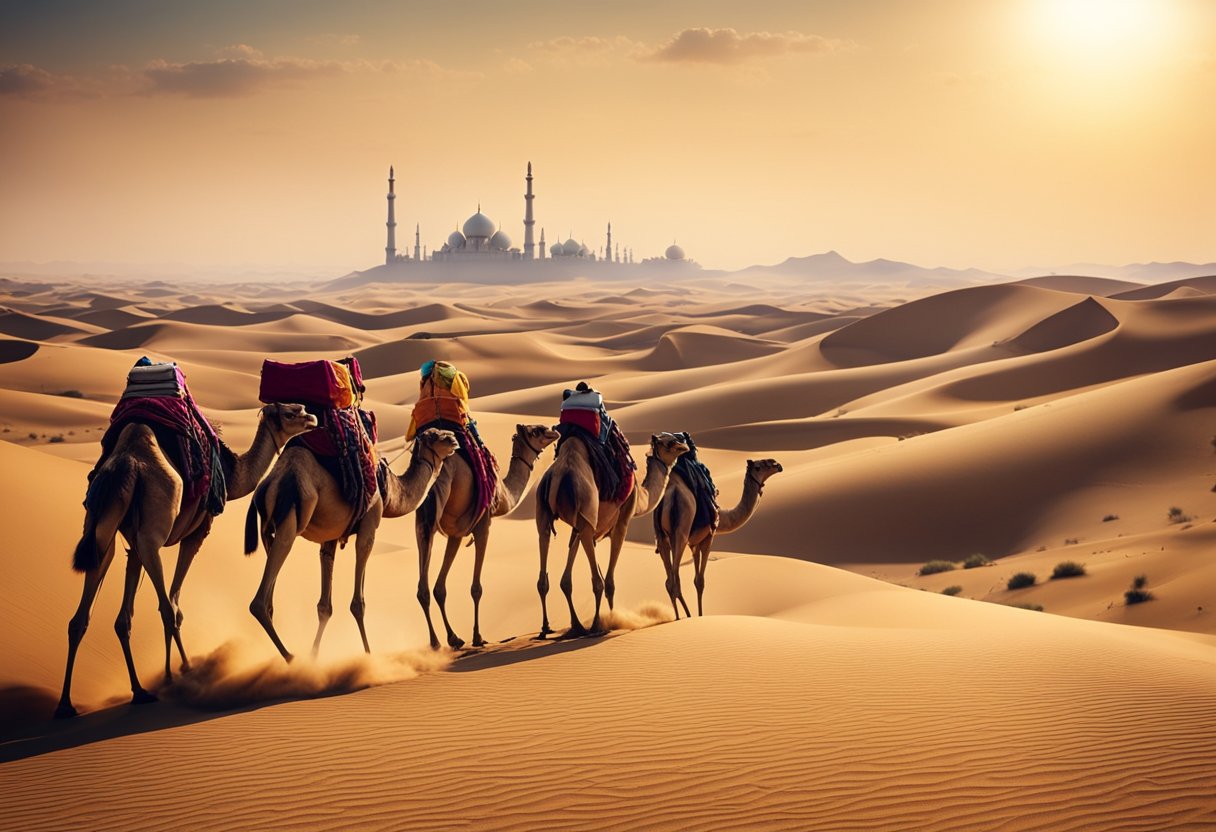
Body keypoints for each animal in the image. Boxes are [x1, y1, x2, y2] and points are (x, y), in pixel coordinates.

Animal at [55, 401, 318, 715]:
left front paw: (154, 681)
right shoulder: (197, 532)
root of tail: (126, 465)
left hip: (101, 531)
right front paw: (176, 672)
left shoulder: (132, 545)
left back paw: (81, 702)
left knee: (81, 617)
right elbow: (174, 605)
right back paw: (186, 674)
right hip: (153, 534)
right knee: (166, 608)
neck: (232, 476)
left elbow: (125, 617)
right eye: (292, 412)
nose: (312, 418)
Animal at [244, 425, 457, 661]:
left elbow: (324, 606)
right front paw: (369, 655)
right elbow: (358, 603)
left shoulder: (330, 537)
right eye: (436, 436)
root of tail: (267, 486)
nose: (454, 439)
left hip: (267, 531)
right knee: (260, 601)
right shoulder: (369, 525)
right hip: (290, 521)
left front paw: (314, 656)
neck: (389, 491)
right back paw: (290, 657)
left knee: (270, 596)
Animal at [413, 423, 556, 651]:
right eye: (537, 431)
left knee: (423, 588)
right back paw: (440, 642)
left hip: (421, 523)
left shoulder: (456, 535)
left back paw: (440, 641)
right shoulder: (483, 525)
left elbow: (440, 588)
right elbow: (476, 588)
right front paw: (477, 637)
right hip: (435, 510)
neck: (504, 493)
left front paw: (455, 638)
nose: (554, 430)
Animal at [537, 428, 690, 637]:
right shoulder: (622, 522)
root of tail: (559, 476)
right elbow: (609, 581)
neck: (641, 496)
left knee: (545, 576)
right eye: (670, 443)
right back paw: (596, 626)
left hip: (544, 512)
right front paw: (613, 618)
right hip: (584, 510)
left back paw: (554, 628)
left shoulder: (581, 529)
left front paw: (579, 624)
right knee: (597, 582)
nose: (685, 445)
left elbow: (566, 580)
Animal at [661, 454, 783, 617]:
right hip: (680, 534)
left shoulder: (694, 544)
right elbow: (700, 581)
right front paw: (700, 616)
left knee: (669, 581)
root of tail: (671, 495)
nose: (777, 464)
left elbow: (695, 579)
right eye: (758, 467)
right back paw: (686, 616)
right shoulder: (708, 538)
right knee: (675, 582)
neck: (722, 515)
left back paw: (678, 618)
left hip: (663, 538)